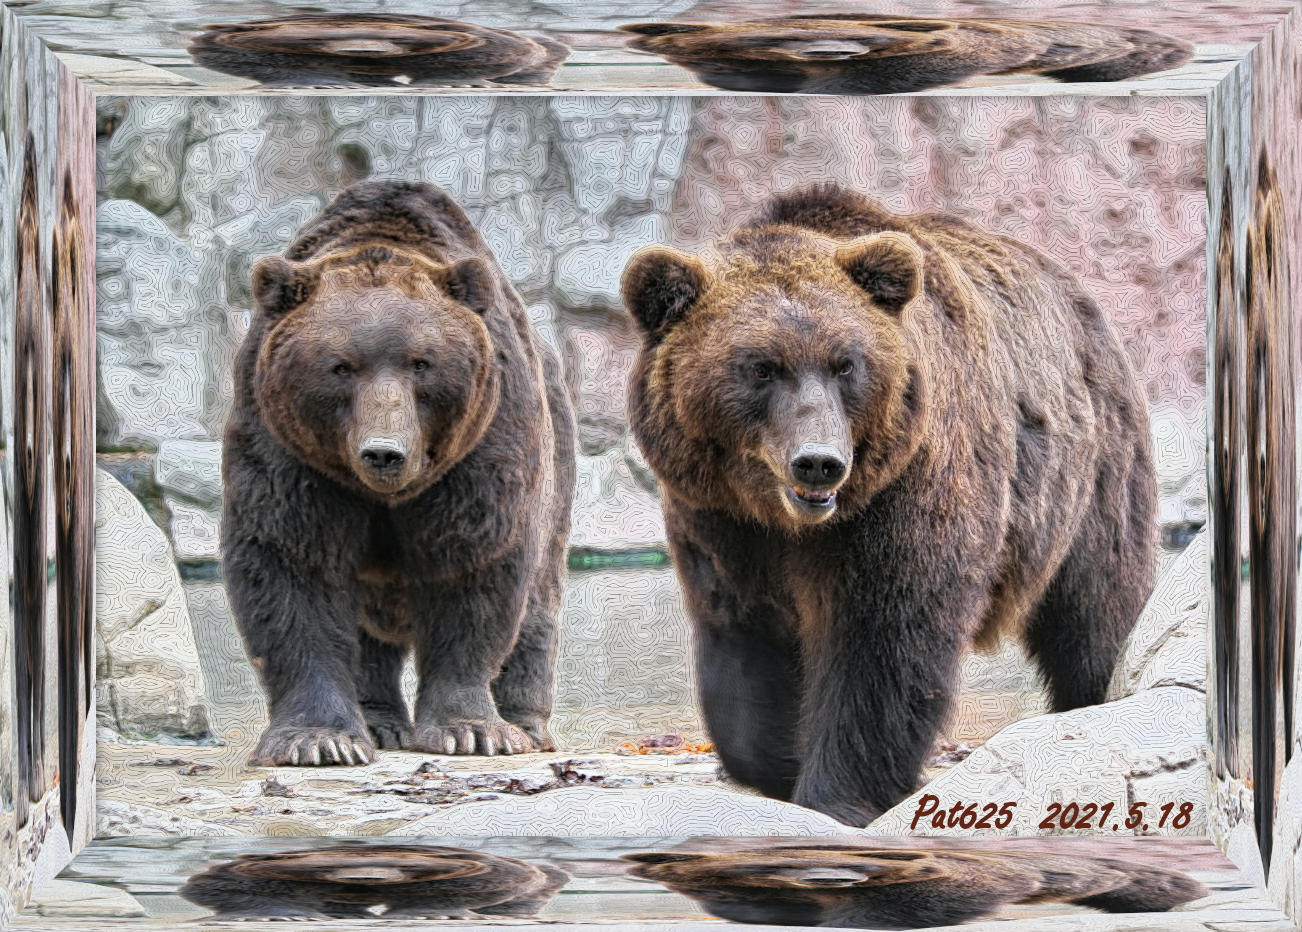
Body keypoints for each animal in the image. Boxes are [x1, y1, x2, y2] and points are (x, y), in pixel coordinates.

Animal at [222, 180, 576, 766]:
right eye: (341, 366)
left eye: (422, 363)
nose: (384, 453)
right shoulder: (289, 452)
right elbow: (292, 563)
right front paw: (318, 740)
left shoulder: (479, 449)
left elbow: (472, 567)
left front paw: (471, 731)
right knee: (366, 629)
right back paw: (379, 721)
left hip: (556, 457)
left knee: (538, 600)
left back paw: (526, 722)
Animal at [621, 183, 1156, 826]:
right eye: (760, 367)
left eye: (845, 363)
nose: (819, 462)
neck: (788, 521)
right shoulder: (721, 520)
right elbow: (747, 633)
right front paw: (774, 761)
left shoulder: (903, 492)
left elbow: (883, 641)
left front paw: (837, 793)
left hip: (1087, 476)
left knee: (1096, 606)